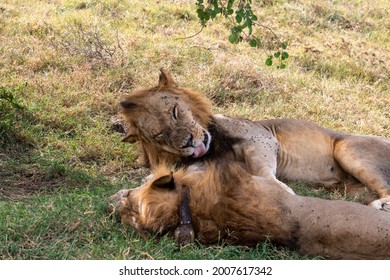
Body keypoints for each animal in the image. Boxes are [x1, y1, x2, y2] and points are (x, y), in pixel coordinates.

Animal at [119, 69, 390, 210]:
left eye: (175, 112)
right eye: (160, 136)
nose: (188, 143)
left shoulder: (264, 139)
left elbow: (262, 171)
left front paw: (283, 191)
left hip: (348, 149)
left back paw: (383, 205)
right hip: (351, 188)